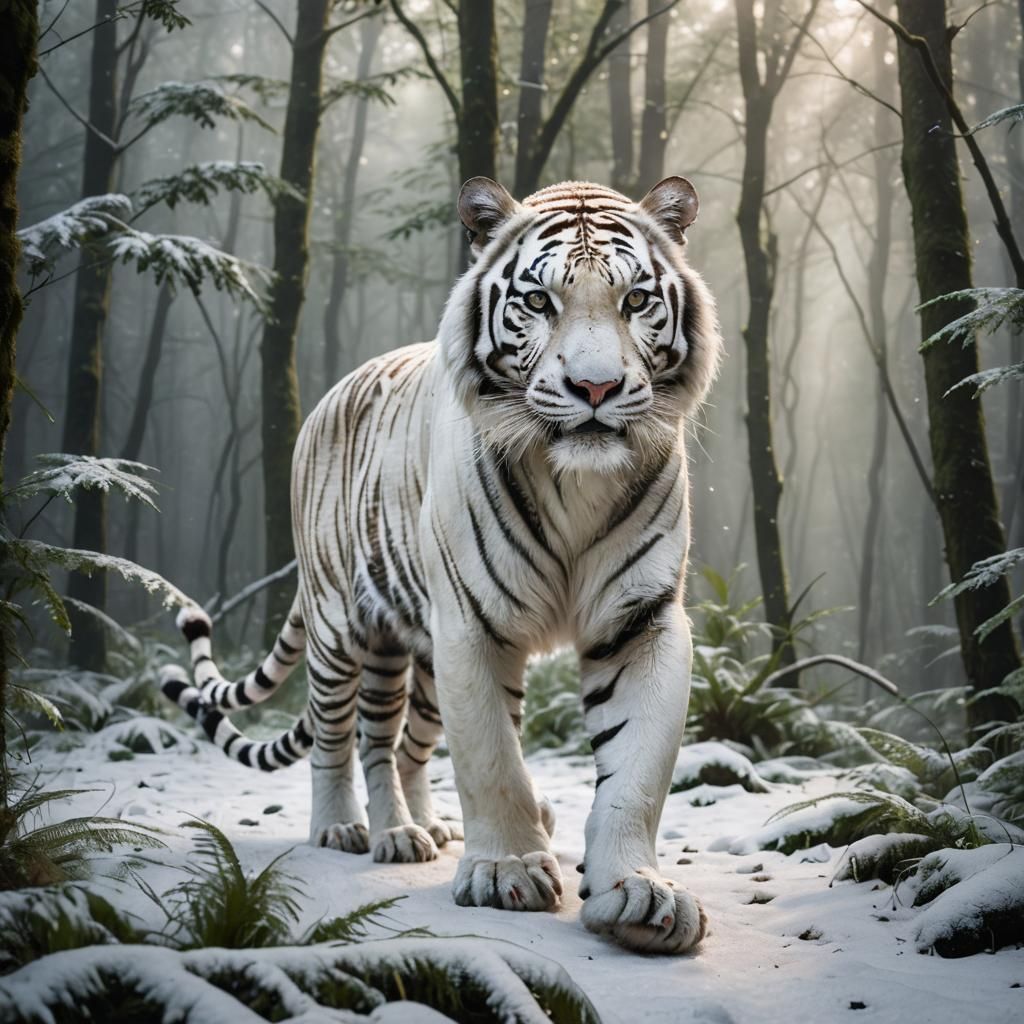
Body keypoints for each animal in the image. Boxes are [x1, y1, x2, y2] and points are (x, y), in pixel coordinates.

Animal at [160, 175, 722, 954]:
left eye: (636, 300)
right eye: (539, 302)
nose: (596, 389)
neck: (577, 483)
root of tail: (331, 395)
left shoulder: (641, 622)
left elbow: (637, 771)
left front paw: (638, 893)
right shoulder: (472, 625)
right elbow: (492, 758)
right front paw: (509, 871)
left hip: (419, 662)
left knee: (407, 748)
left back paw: (423, 826)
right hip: (341, 630)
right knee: (349, 739)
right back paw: (359, 829)